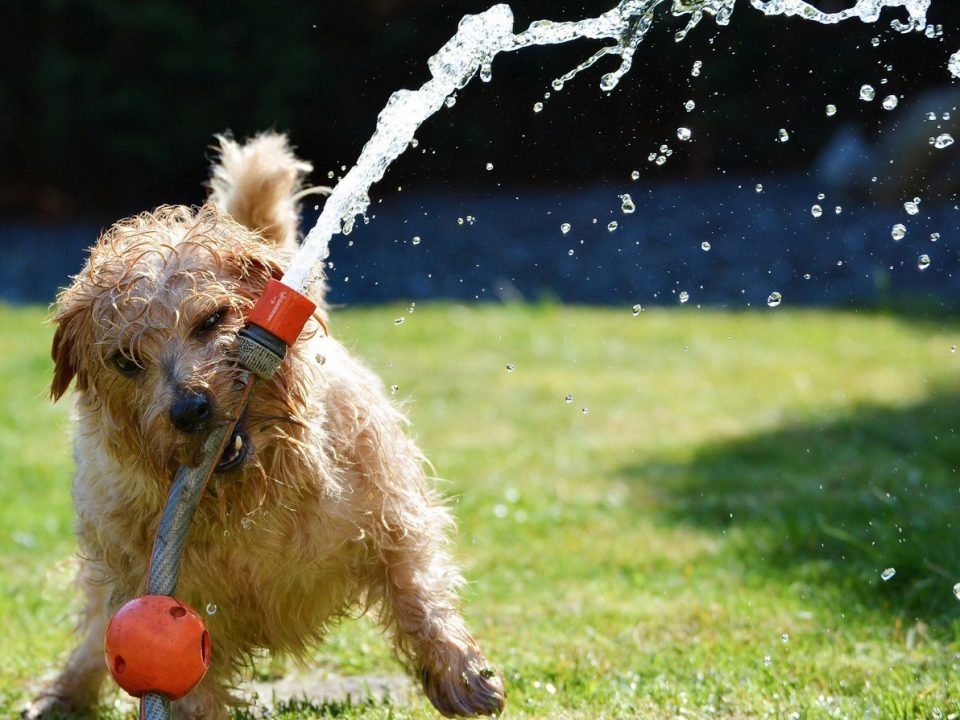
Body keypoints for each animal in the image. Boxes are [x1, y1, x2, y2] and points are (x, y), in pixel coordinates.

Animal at [26, 134, 506, 720]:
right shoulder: (163, 592)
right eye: (126, 361)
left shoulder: (392, 515)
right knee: (95, 629)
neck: (252, 497)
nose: (191, 409)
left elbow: (417, 588)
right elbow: (187, 684)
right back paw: (63, 692)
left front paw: (462, 673)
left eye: (212, 319)